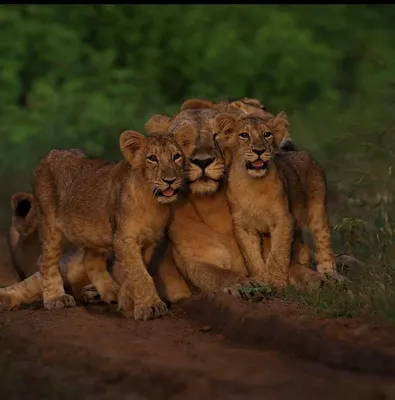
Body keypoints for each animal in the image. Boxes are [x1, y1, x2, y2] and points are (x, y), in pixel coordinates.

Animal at [27, 130, 190, 320]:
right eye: (152, 158)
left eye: (176, 156)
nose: (170, 180)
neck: (152, 202)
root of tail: (50, 154)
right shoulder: (123, 238)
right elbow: (140, 274)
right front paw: (151, 306)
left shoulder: (149, 239)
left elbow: (136, 271)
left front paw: (126, 303)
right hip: (50, 223)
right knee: (46, 260)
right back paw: (56, 297)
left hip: (91, 232)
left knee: (90, 261)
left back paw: (111, 292)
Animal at [215, 111, 344, 286]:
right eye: (244, 135)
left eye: (267, 134)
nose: (259, 150)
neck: (253, 185)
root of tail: (299, 152)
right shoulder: (244, 226)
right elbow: (252, 256)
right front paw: (261, 280)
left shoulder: (283, 219)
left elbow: (278, 253)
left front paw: (276, 282)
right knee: (304, 249)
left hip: (318, 209)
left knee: (323, 240)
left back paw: (329, 273)